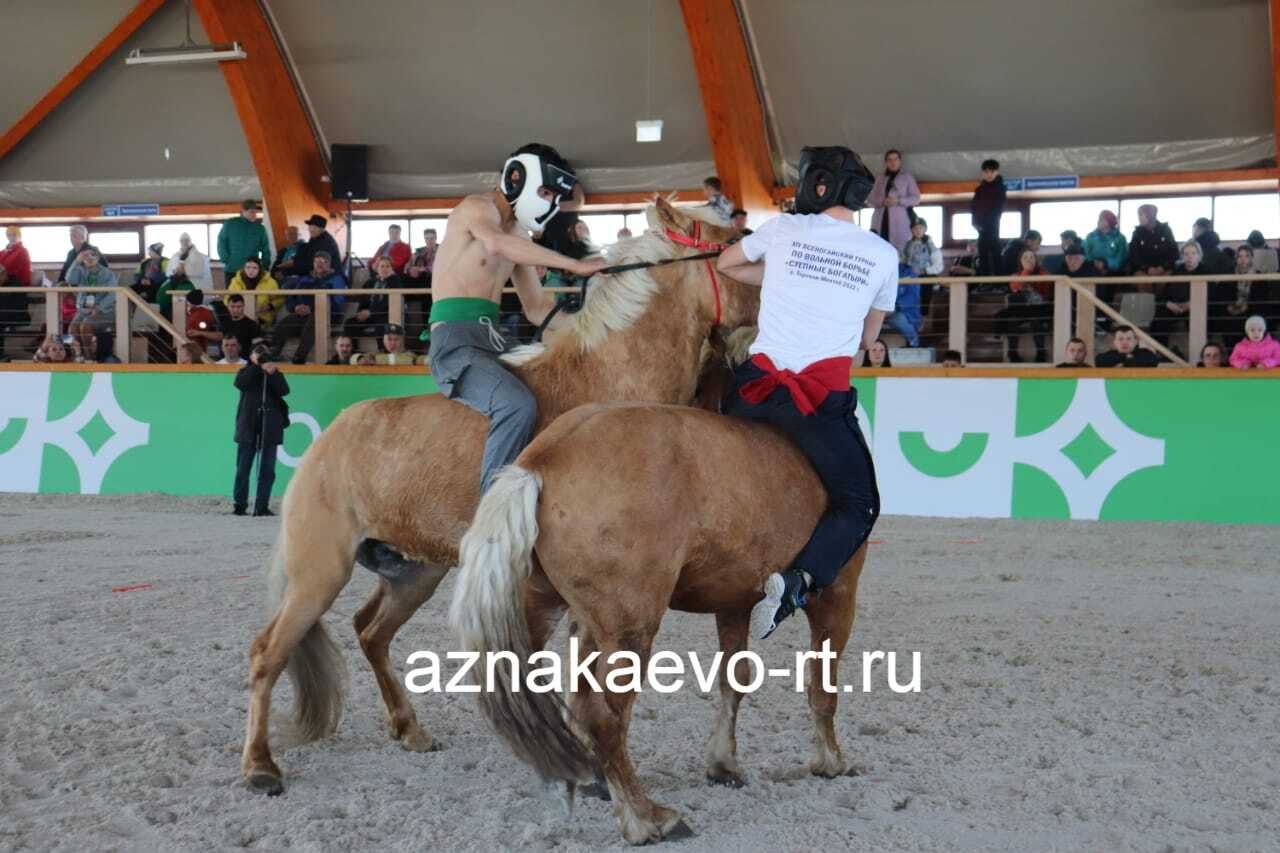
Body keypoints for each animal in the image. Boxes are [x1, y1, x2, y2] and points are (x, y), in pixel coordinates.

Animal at [243, 199, 752, 788]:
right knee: (268, 653)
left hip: (416, 572)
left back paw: (409, 728)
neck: (610, 390)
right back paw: (259, 765)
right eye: (735, 241)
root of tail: (329, 441)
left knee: (370, 633)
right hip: (319, 573)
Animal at [450, 376, 870, 835]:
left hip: (553, 611)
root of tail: (543, 461)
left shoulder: (734, 602)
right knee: (601, 715)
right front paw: (830, 761)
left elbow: (735, 678)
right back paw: (645, 817)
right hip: (629, 628)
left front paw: (723, 764)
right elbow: (822, 686)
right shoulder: (837, 599)